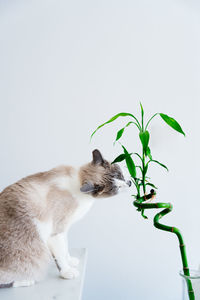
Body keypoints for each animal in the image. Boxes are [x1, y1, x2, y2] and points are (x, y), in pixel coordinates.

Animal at [0, 149, 131, 288]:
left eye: (120, 175)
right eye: (116, 188)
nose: (129, 183)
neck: (78, 183)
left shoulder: (64, 229)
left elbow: (65, 248)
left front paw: (71, 261)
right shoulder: (56, 232)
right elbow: (60, 256)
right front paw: (67, 272)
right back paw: (26, 281)